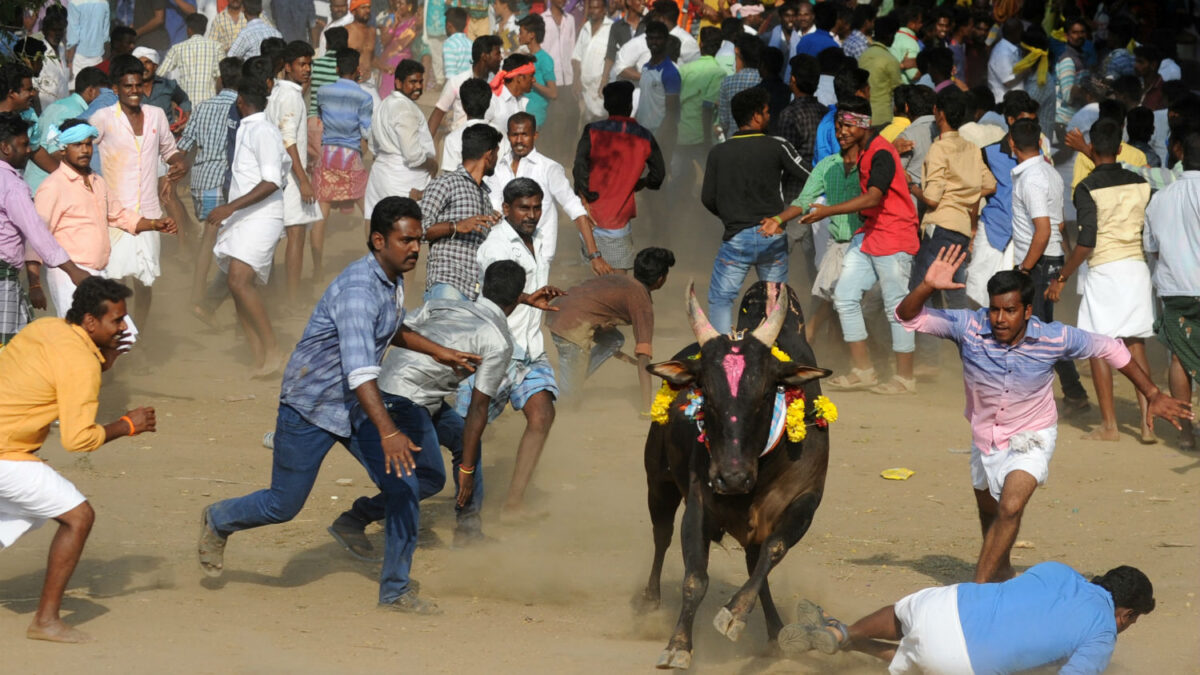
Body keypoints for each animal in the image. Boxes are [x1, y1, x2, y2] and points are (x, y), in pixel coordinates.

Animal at [643, 279, 830, 667]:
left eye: (764, 395)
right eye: (706, 395)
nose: (731, 479)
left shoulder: (805, 500)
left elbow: (772, 552)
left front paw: (736, 613)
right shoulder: (698, 502)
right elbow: (695, 578)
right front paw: (678, 645)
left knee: (754, 562)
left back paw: (774, 630)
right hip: (658, 482)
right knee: (661, 534)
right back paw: (650, 602)